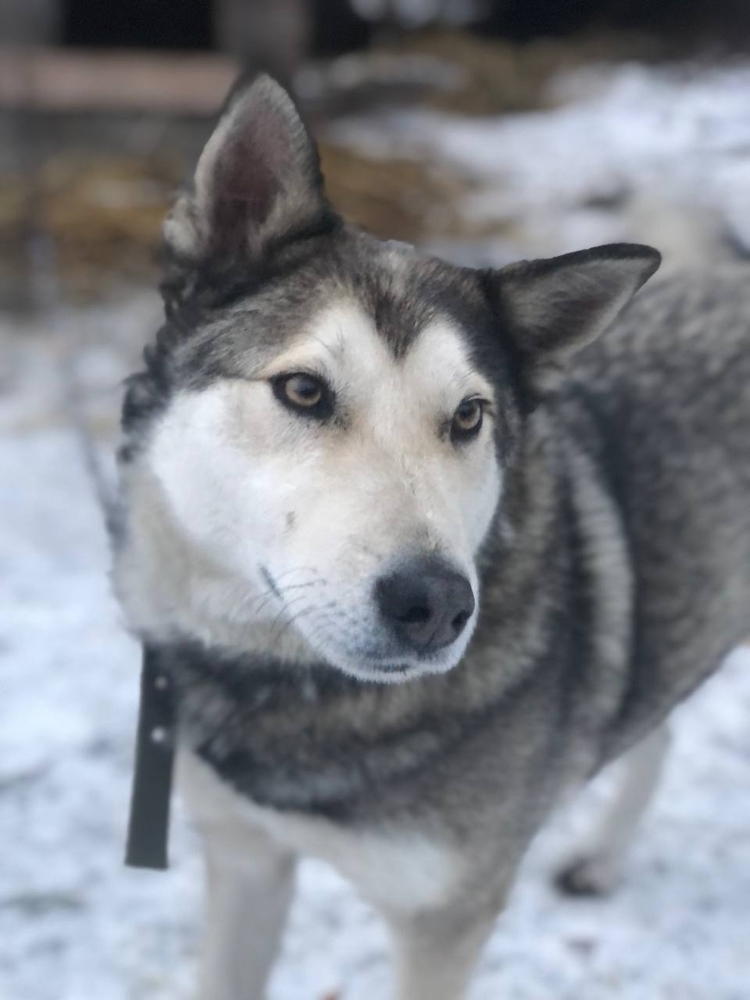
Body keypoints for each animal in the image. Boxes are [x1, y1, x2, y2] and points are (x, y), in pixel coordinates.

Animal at [113, 75, 750, 999]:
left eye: (469, 416)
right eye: (304, 390)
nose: (437, 605)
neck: (298, 701)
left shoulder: (444, 918)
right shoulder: (246, 859)